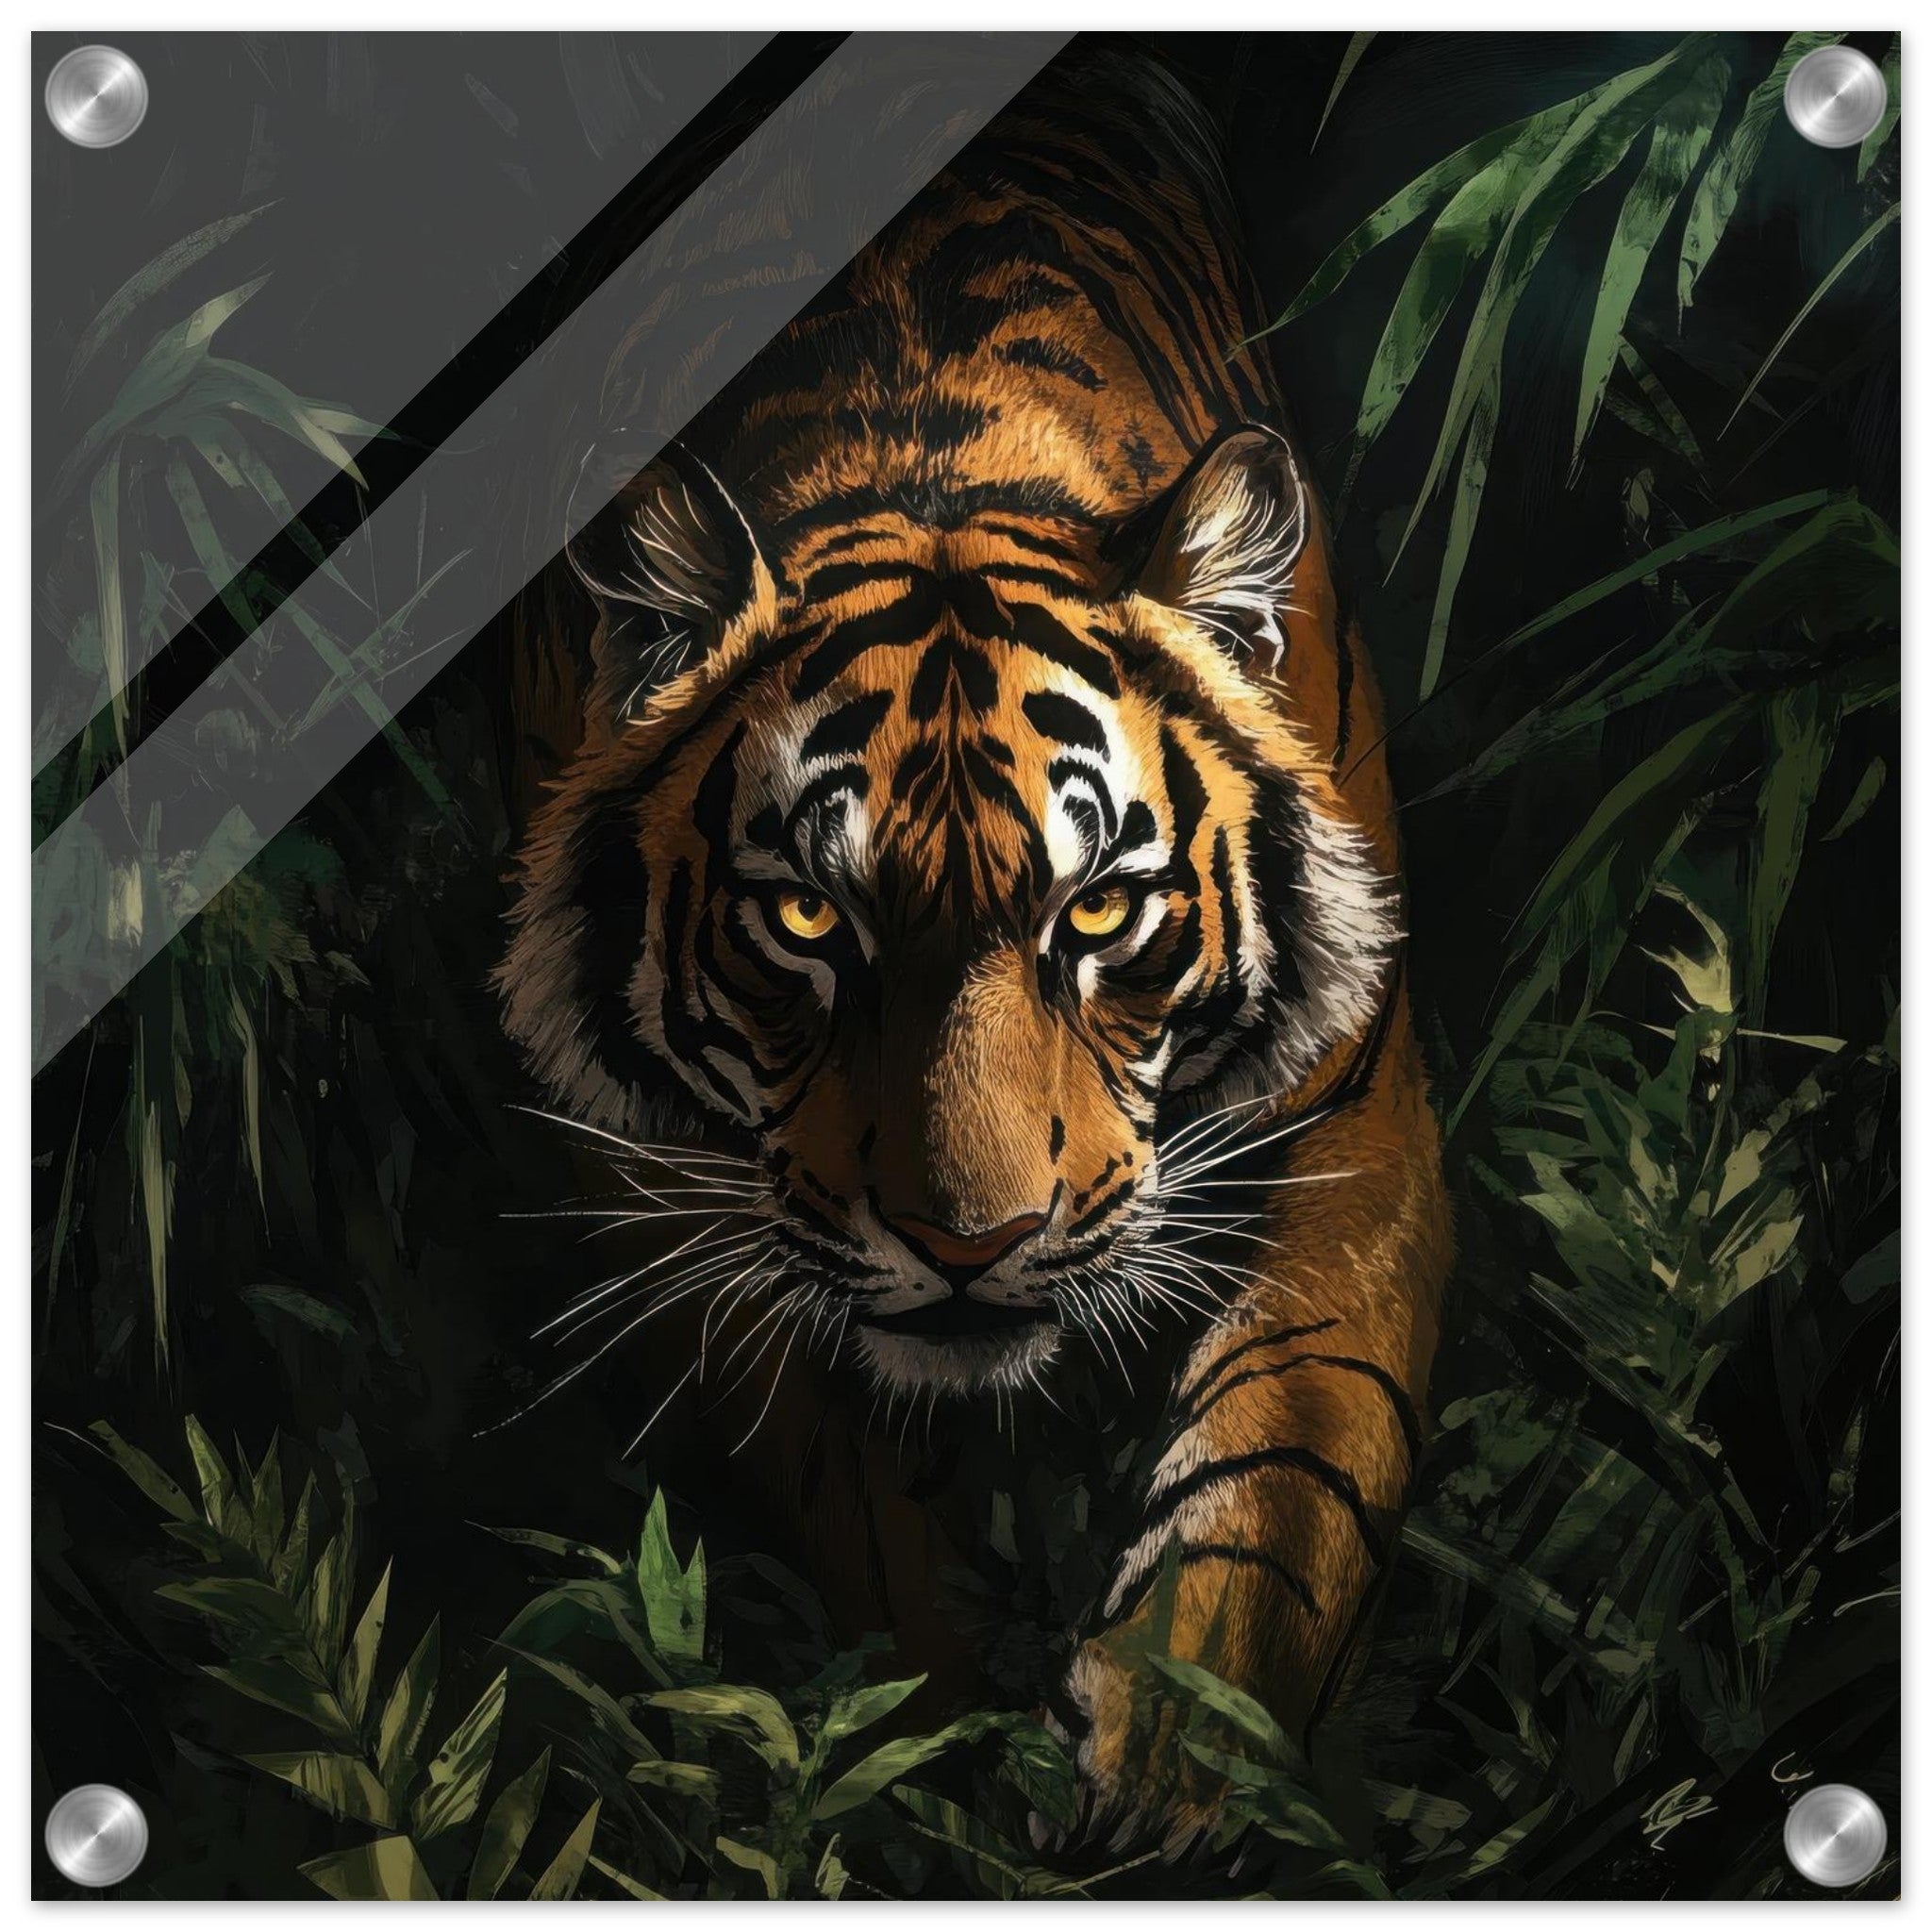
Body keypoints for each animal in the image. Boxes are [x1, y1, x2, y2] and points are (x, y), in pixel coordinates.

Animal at [498, 45, 1451, 1850]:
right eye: (810, 917)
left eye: (1098, 911)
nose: (969, 1244)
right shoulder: (676, 1196)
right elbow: (868, 1531)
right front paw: (923, 1769)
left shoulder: (1349, 1135)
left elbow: (1278, 1488)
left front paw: (1169, 1764)